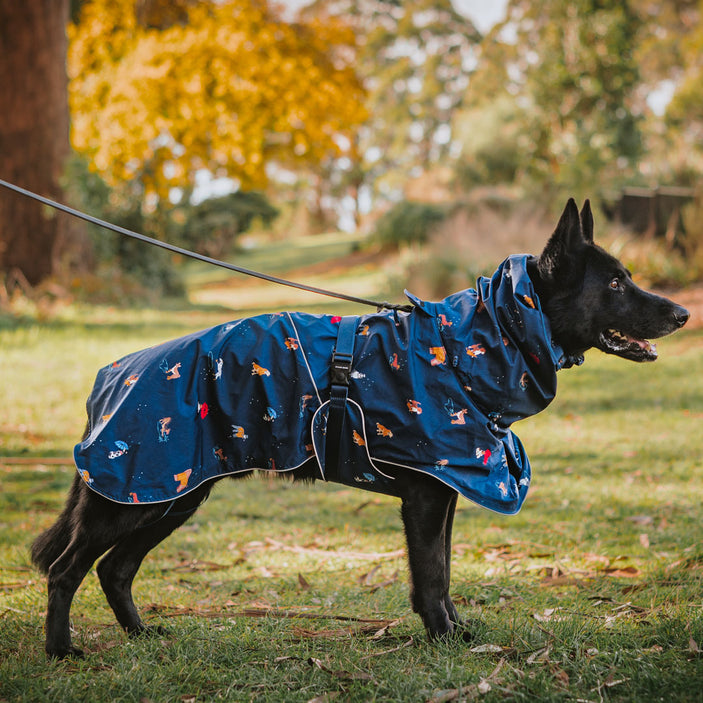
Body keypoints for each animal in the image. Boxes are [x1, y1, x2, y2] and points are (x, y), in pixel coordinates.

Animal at [31, 199, 688, 660]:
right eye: (614, 284)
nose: (683, 313)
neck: (477, 341)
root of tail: (112, 377)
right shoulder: (425, 498)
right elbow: (432, 577)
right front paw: (445, 640)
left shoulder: (446, 493)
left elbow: (442, 574)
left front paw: (455, 630)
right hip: (135, 495)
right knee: (67, 570)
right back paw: (62, 652)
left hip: (171, 498)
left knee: (114, 570)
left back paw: (141, 637)